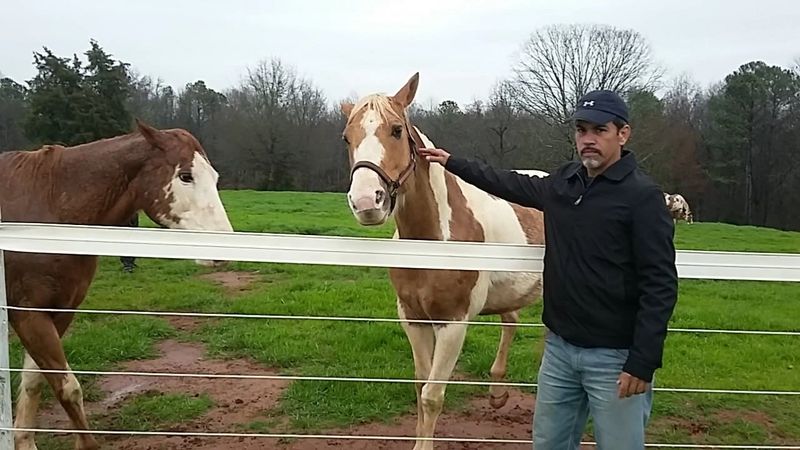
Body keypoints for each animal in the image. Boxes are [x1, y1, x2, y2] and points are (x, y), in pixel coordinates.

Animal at [0, 120, 234, 450]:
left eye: (214, 178)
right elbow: (68, 388)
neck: (49, 204)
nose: (224, 248)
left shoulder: (58, 312)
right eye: (185, 176)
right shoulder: (27, 314)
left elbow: (35, 381)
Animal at [340, 73, 546, 450]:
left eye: (396, 130)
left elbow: (432, 396)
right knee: (510, 320)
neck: (433, 241)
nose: (366, 202)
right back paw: (497, 392)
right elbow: (420, 386)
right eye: (347, 137)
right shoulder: (413, 319)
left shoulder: (453, 323)